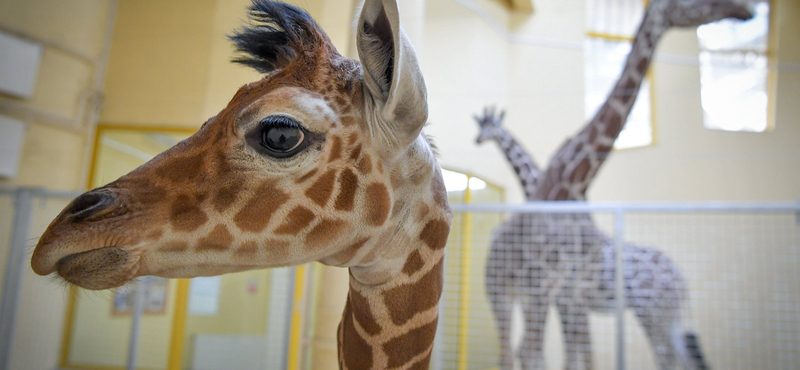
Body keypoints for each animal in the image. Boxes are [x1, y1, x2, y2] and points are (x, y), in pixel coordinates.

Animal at [472, 0, 752, 368]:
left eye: (487, 126)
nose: (746, 10)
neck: (569, 187)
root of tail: (681, 279)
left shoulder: (561, 292)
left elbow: (575, 354)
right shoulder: (558, 293)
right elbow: (569, 353)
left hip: (652, 312)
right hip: (508, 292)